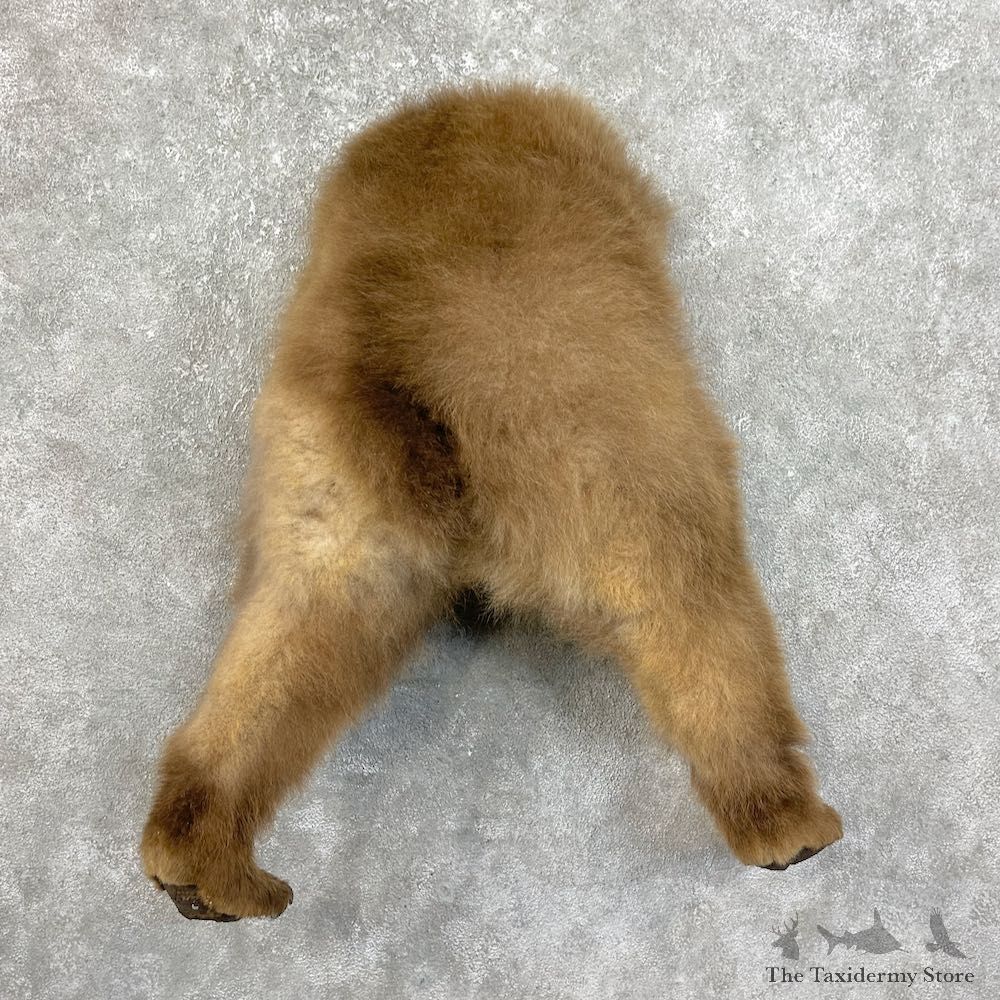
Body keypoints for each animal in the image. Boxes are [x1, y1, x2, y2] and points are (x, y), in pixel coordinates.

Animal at [141, 83, 843, 921]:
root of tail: (417, 372)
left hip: (335, 536)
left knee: (256, 694)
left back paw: (205, 871)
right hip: (646, 500)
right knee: (712, 664)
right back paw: (787, 823)